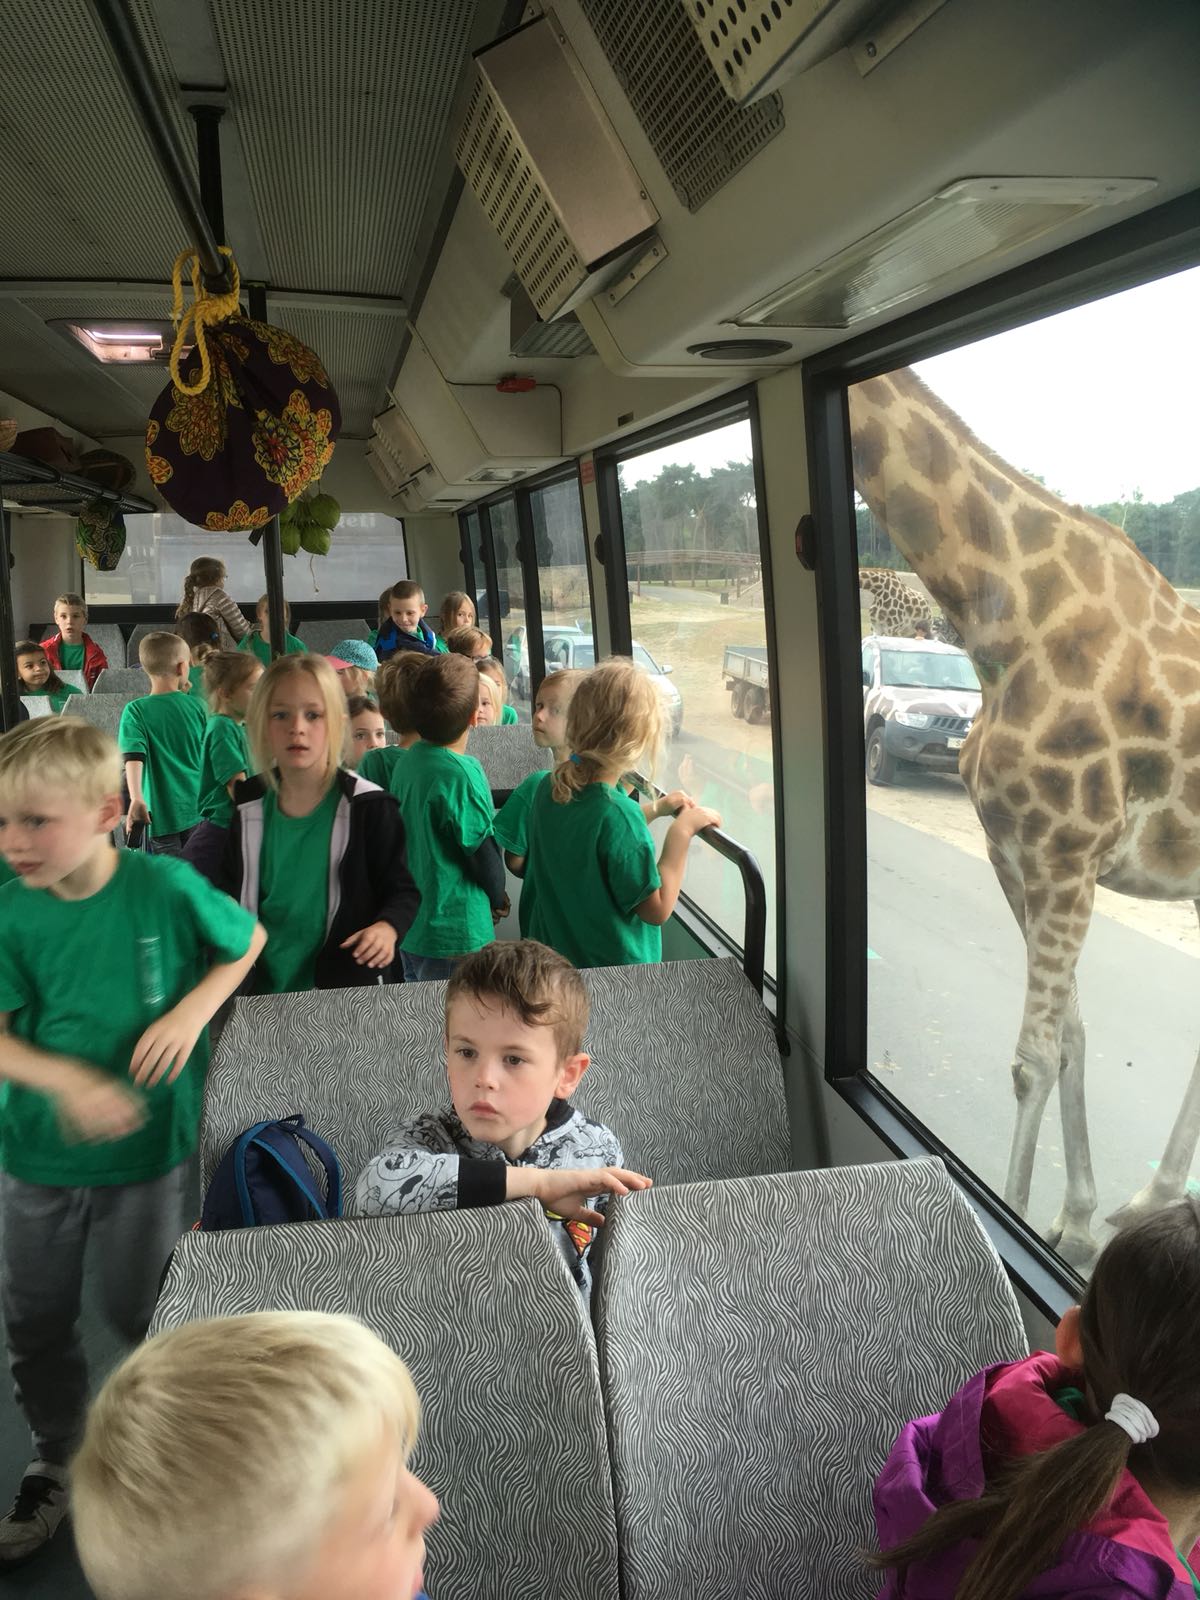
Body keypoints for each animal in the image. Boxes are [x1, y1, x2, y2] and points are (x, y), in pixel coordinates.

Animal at [851, 366, 1200, 1260]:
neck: (1006, 617)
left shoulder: (1066, 855)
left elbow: (1032, 1059)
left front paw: (1013, 1224)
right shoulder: (1016, 852)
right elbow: (1071, 1040)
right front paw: (1072, 1219)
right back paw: (1147, 1198)